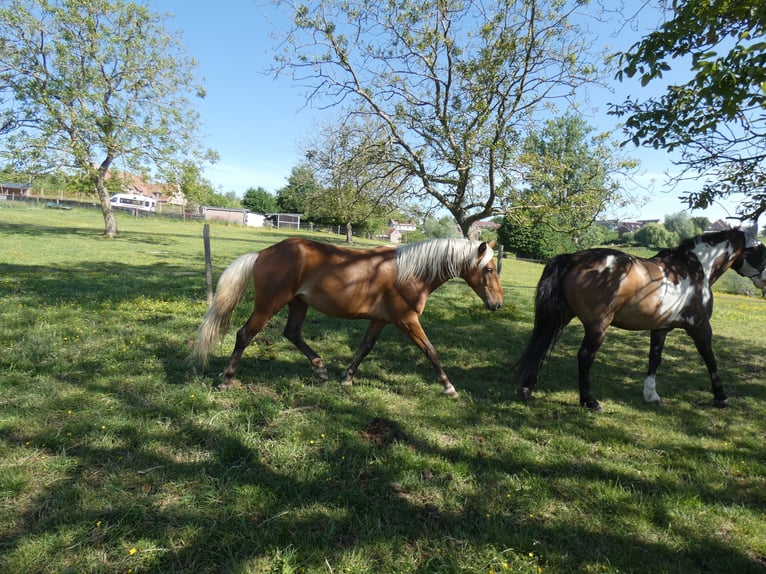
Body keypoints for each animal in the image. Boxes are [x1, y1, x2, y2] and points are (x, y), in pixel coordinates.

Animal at [192, 237, 503, 397]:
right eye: (488, 269)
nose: (497, 304)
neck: (411, 272)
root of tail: (263, 252)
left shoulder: (380, 320)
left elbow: (365, 348)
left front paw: (347, 377)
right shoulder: (406, 320)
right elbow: (430, 350)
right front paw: (449, 387)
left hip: (297, 304)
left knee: (292, 333)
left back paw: (320, 368)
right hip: (269, 305)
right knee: (245, 334)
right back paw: (227, 378)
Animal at [513, 227, 766, 411]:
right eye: (759, 249)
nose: (764, 279)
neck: (694, 268)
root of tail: (573, 258)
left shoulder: (661, 328)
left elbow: (654, 359)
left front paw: (651, 394)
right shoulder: (700, 326)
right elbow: (711, 360)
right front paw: (721, 397)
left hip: (560, 317)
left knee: (541, 343)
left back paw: (526, 388)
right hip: (597, 327)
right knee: (584, 357)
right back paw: (590, 401)